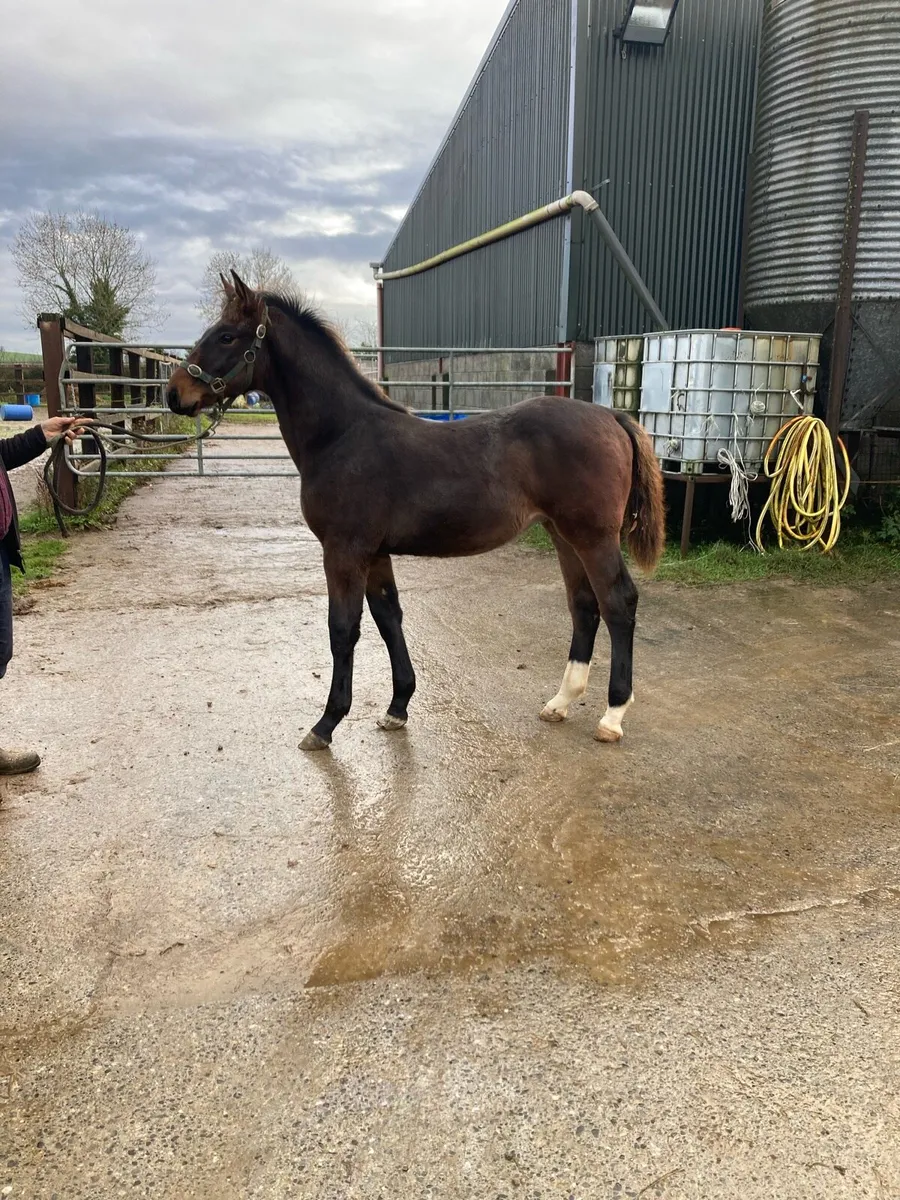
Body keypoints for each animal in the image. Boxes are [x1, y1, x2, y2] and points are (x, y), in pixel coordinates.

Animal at [167, 271, 665, 752]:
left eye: (227, 336)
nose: (175, 394)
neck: (342, 435)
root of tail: (611, 417)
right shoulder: (374, 553)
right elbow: (388, 618)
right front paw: (397, 707)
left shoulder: (344, 550)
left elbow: (342, 629)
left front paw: (326, 724)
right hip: (563, 534)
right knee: (583, 605)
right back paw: (560, 702)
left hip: (593, 536)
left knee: (618, 602)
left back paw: (612, 715)